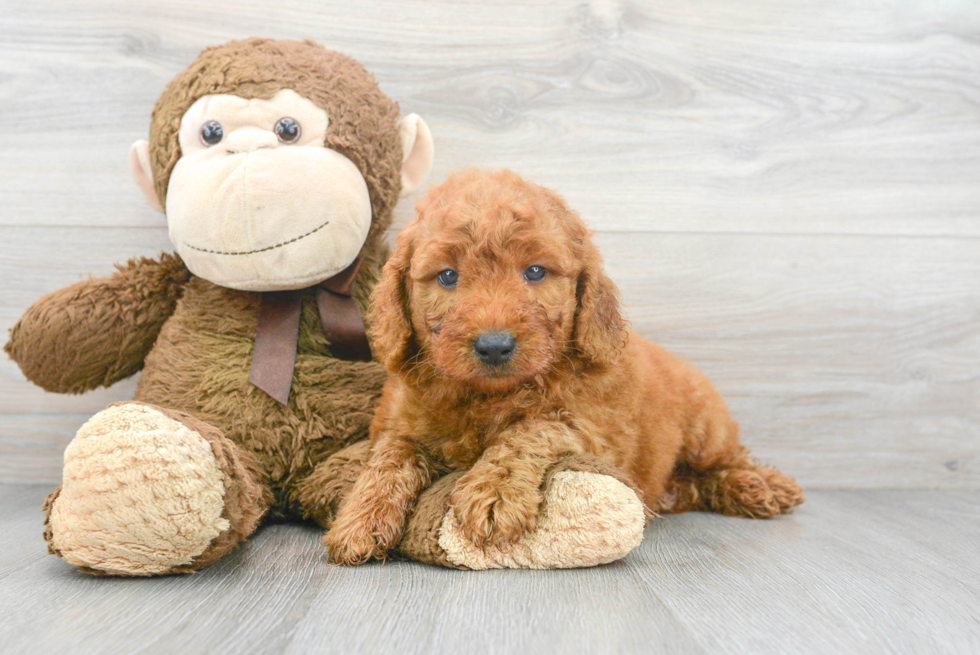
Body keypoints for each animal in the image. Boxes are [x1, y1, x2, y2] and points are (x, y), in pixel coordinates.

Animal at [326, 168, 800, 564]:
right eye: (447, 276)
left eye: (535, 272)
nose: (494, 346)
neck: (488, 395)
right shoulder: (399, 419)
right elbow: (392, 454)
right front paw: (360, 518)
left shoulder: (597, 428)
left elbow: (534, 428)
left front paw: (494, 490)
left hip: (707, 430)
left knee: (728, 461)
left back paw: (763, 485)